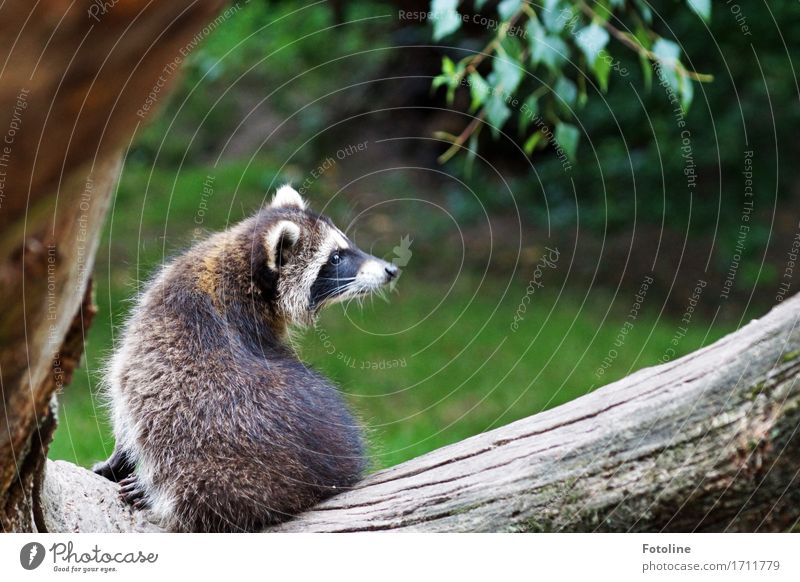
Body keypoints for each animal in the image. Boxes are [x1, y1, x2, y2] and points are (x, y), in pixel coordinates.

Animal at [94, 187, 400, 532]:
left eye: (345, 248)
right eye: (335, 257)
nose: (391, 270)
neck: (237, 268)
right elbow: (123, 392)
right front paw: (119, 456)